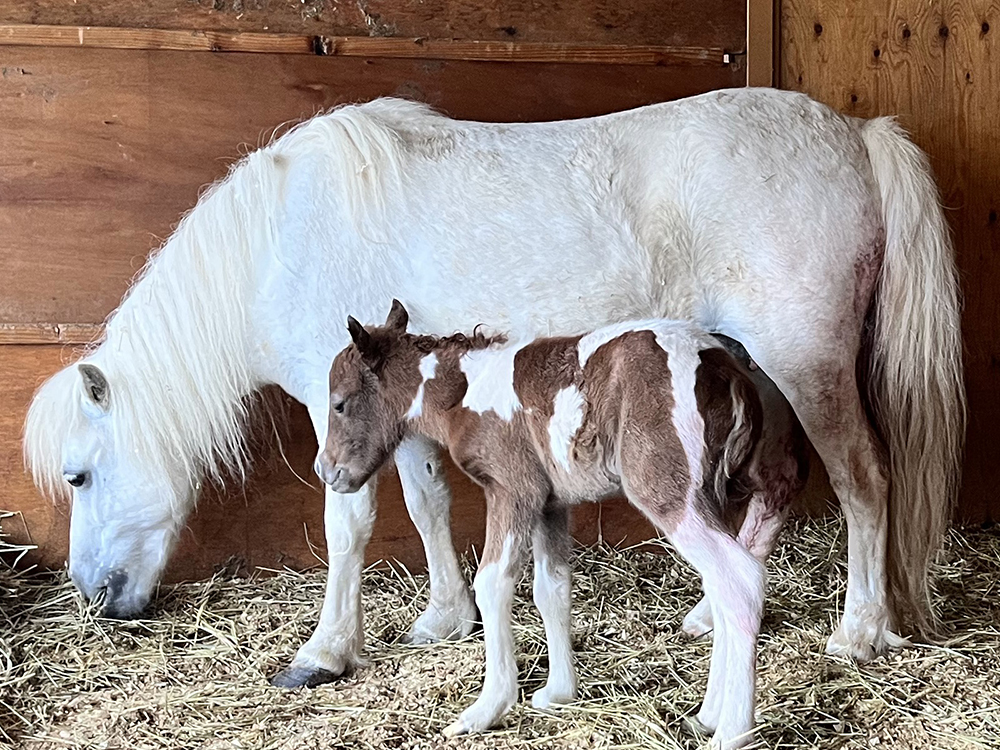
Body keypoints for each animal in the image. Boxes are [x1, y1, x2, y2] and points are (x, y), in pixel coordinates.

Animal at [21, 85, 960, 692]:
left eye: (80, 475)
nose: (96, 599)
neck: (282, 242)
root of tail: (857, 134)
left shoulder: (342, 415)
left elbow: (349, 526)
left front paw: (325, 652)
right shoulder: (392, 407)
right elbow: (427, 503)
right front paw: (443, 618)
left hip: (806, 363)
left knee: (861, 481)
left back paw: (858, 631)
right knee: (776, 484)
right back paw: (710, 615)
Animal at [320, 302, 804, 750]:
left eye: (339, 404)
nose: (327, 471)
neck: (466, 393)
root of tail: (728, 372)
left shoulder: (512, 490)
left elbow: (492, 584)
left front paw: (487, 708)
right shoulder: (549, 504)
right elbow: (550, 589)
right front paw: (558, 692)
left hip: (670, 493)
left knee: (740, 578)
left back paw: (732, 731)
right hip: (708, 494)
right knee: (720, 584)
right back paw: (707, 715)